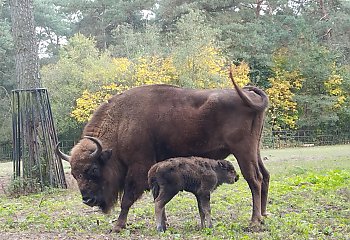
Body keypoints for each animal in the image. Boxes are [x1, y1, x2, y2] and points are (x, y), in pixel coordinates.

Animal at [56, 72, 270, 232]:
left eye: (93, 169)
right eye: (74, 173)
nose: (87, 199)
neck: (121, 123)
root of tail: (249, 96)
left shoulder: (139, 167)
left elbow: (128, 198)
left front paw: (118, 226)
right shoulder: (155, 169)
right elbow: (157, 197)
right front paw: (163, 223)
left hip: (243, 151)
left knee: (254, 179)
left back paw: (254, 222)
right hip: (255, 150)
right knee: (265, 175)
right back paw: (264, 216)